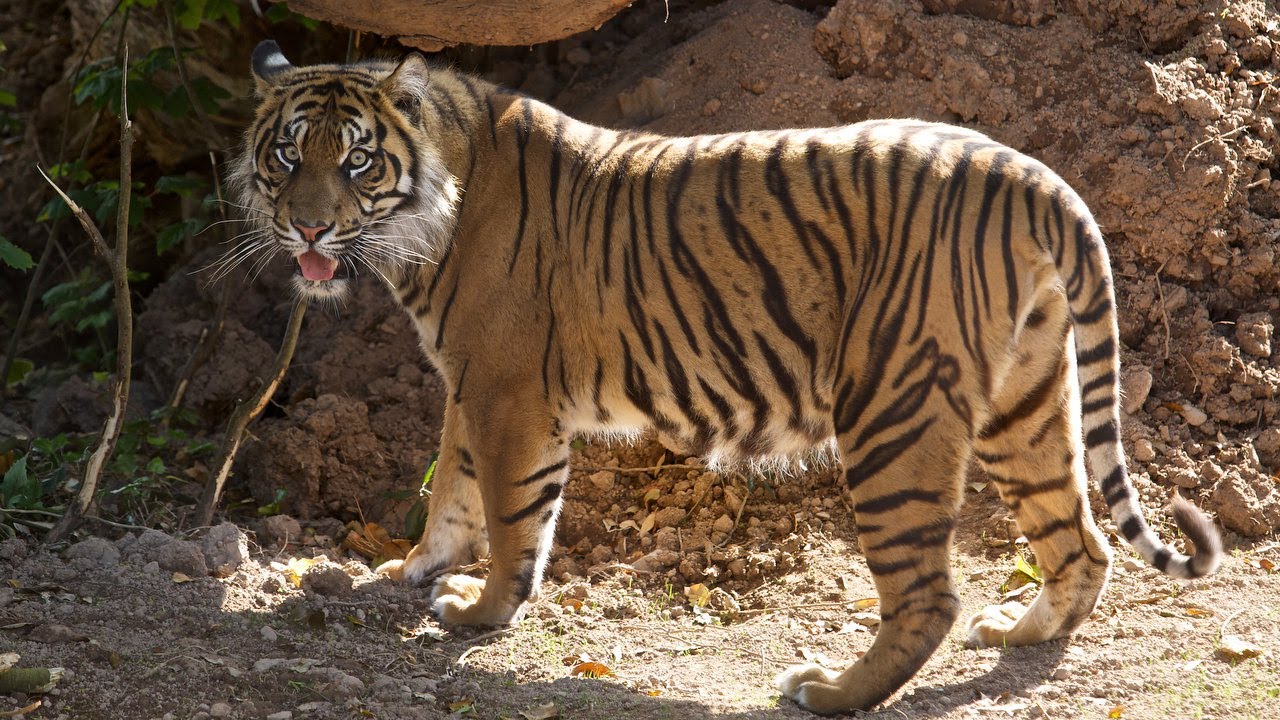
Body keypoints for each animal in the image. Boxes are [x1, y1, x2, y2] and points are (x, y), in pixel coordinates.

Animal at [233, 40, 1222, 714]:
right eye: (286, 155)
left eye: (356, 159)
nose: (308, 229)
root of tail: (1028, 172)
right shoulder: (471, 381)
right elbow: (453, 485)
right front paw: (418, 568)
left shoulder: (507, 389)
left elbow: (512, 516)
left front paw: (480, 613)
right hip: (1026, 402)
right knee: (1080, 543)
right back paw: (1019, 633)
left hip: (892, 408)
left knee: (926, 595)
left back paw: (828, 692)